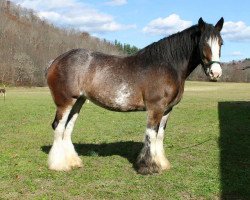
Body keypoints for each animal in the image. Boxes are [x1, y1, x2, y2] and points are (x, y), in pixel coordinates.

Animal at [46, 17, 224, 174]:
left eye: (221, 43)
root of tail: (56, 60)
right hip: (65, 102)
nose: (215, 73)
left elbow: (160, 135)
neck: (166, 65)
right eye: (203, 43)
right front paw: (148, 167)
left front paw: (161, 163)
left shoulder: (167, 110)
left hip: (79, 102)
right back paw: (59, 165)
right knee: (59, 126)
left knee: (68, 128)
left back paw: (73, 161)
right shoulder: (155, 108)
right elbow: (151, 134)